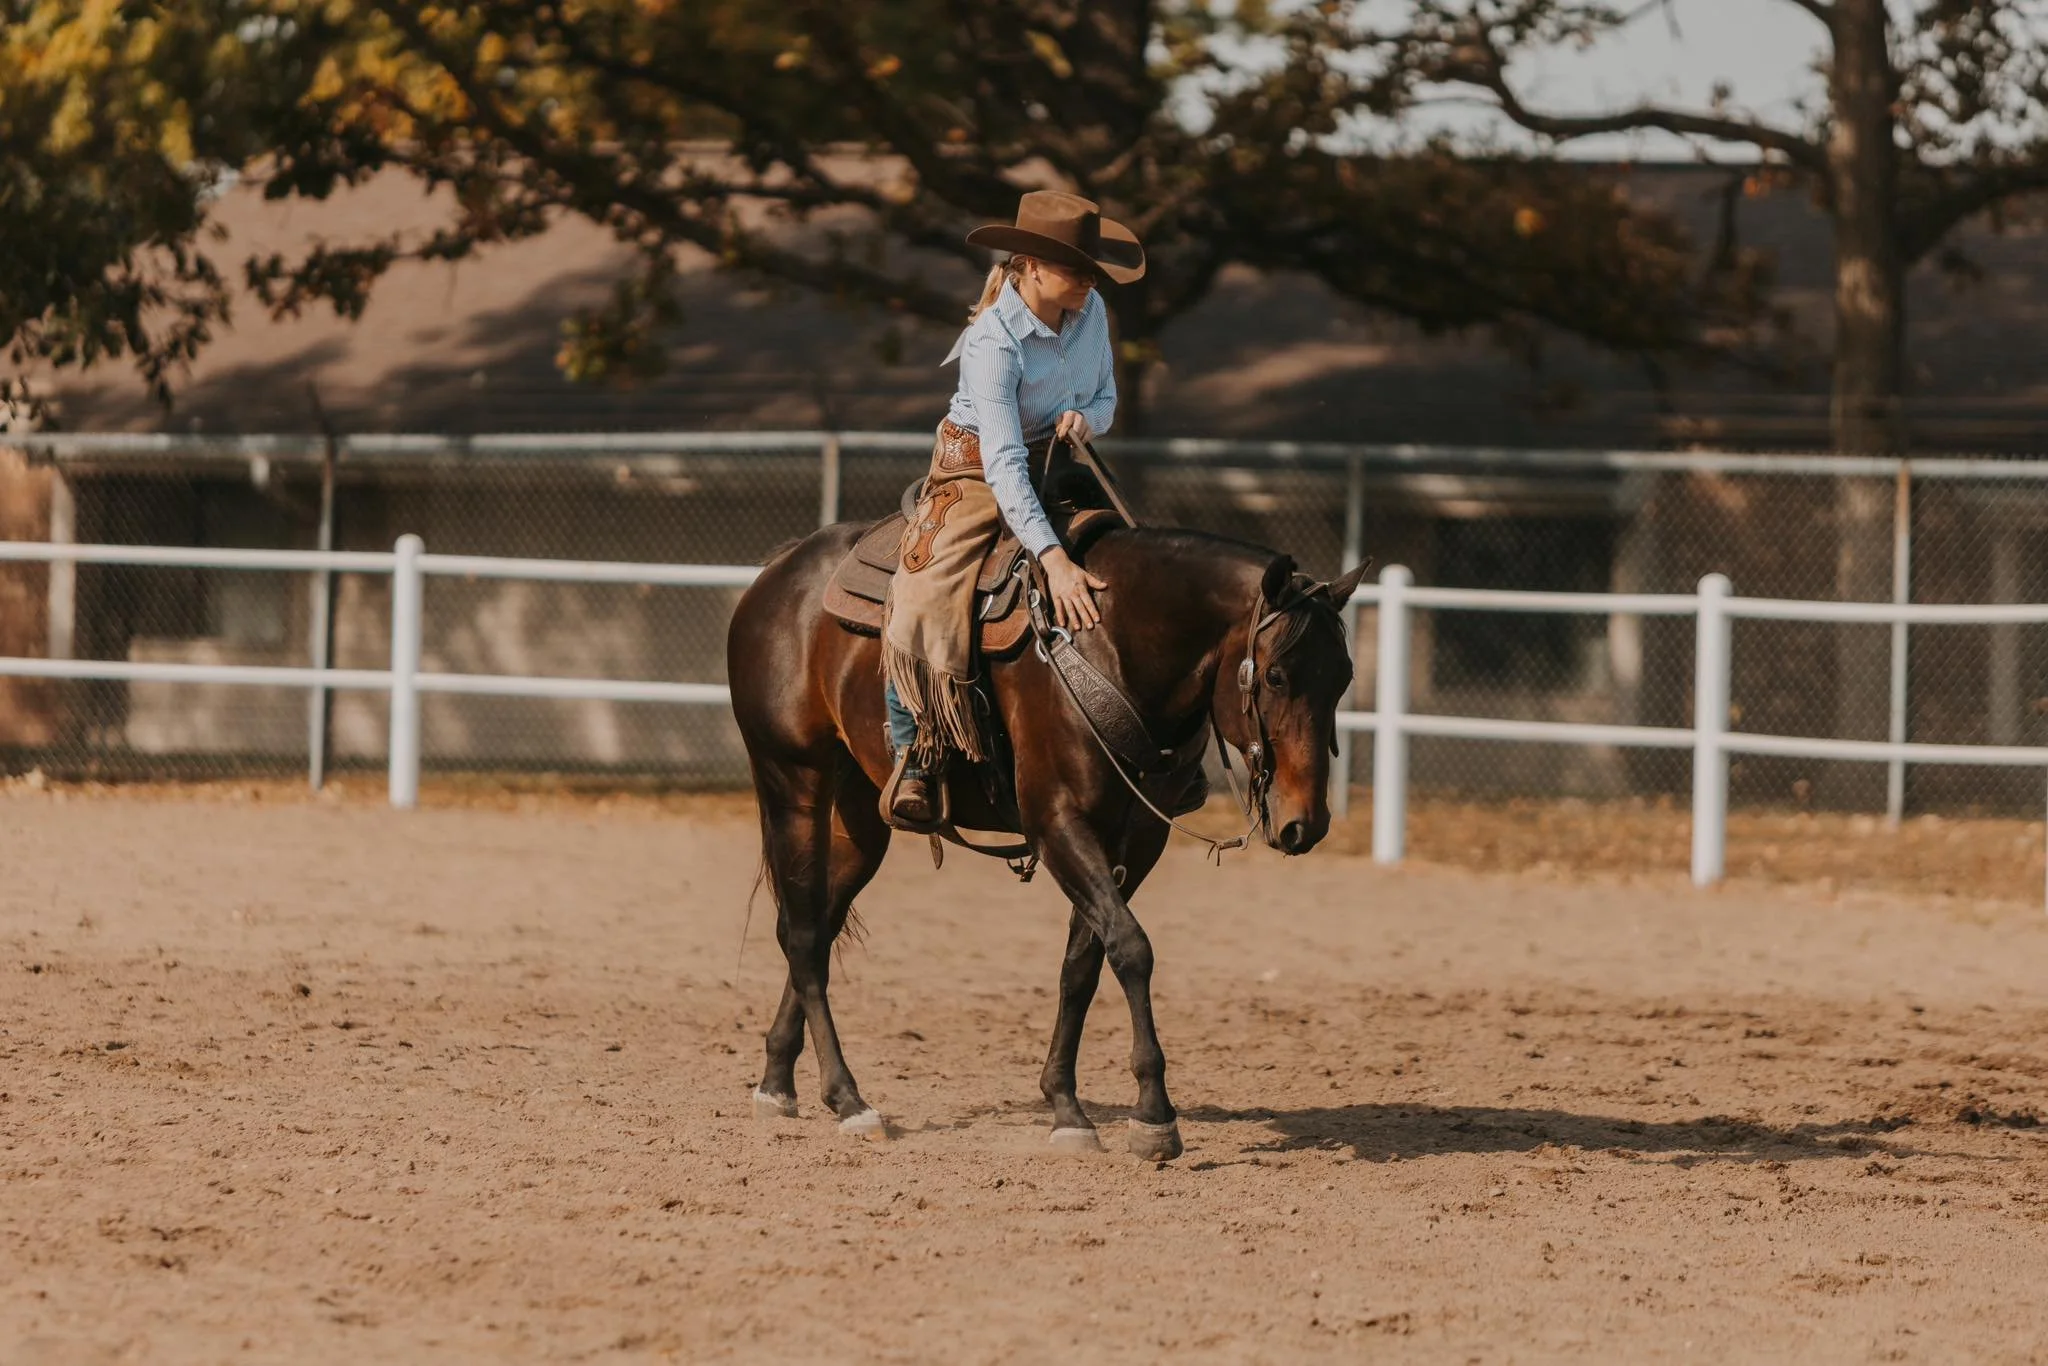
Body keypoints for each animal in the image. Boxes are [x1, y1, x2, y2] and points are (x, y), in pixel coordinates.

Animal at [726, 519, 1368, 1160]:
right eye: (1277, 675)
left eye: (1344, 679)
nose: (1306, 823)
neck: (1114, 645)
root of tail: (780, 571)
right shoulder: (1058, 824)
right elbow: (1131, 947)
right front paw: (1153, 1116)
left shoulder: (1137, 839)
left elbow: (1084, 962)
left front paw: (1065, 1106)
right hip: (793, 781)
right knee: (804, 933)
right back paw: (848, 1099)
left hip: (860, 813)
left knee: (815, 924)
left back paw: (778, 1083)